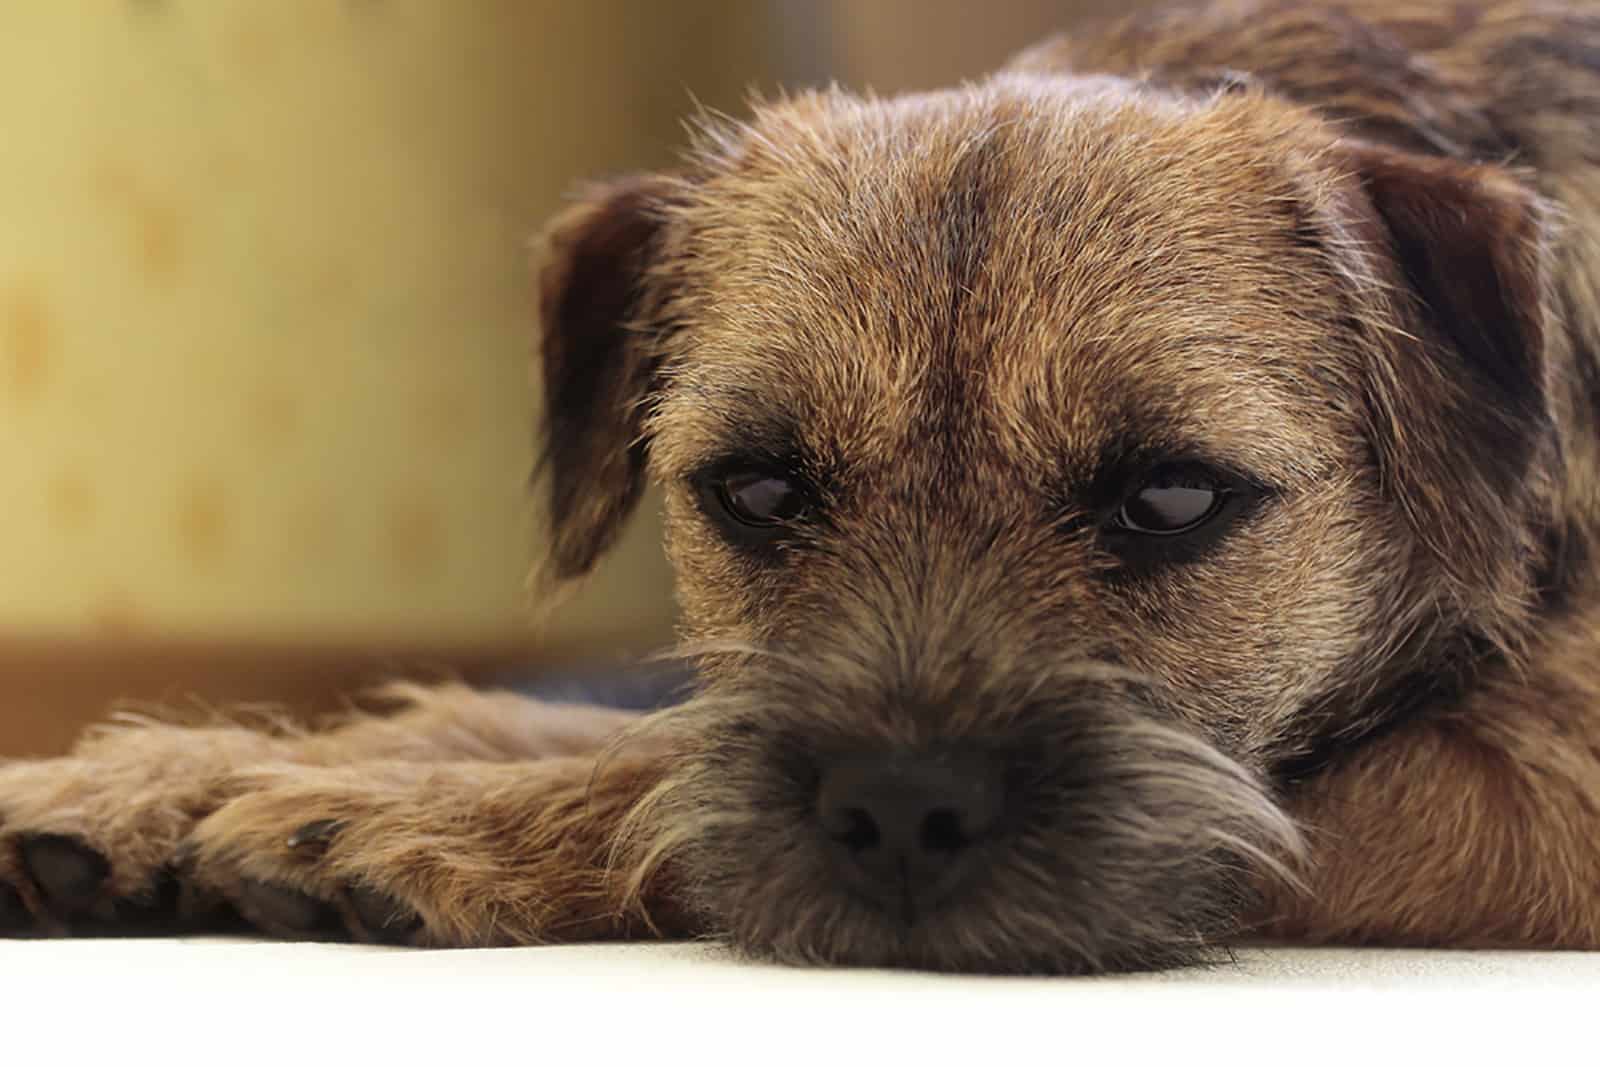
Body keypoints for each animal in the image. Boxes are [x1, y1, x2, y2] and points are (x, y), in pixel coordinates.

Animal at [3, 0, 1600, 972]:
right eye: (759, 490)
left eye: (1172, 497)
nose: (901, 805)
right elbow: (606, 717)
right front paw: (155, 776)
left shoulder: (1538, 779)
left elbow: (654, 769)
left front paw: (414, 815)